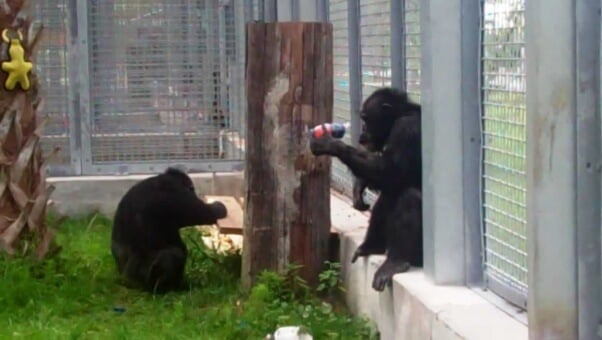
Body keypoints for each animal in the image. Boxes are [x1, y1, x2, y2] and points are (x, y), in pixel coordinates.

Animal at [310, 87, 422, 292]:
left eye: (366, 118)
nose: (362, 130)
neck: (401, 115)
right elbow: (386, 178)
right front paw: (359, 187)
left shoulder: (407, 130)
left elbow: (391, 172)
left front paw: (330, 144)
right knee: (388, 197)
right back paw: (371, 246)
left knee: (410, 197)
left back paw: (395, 262)